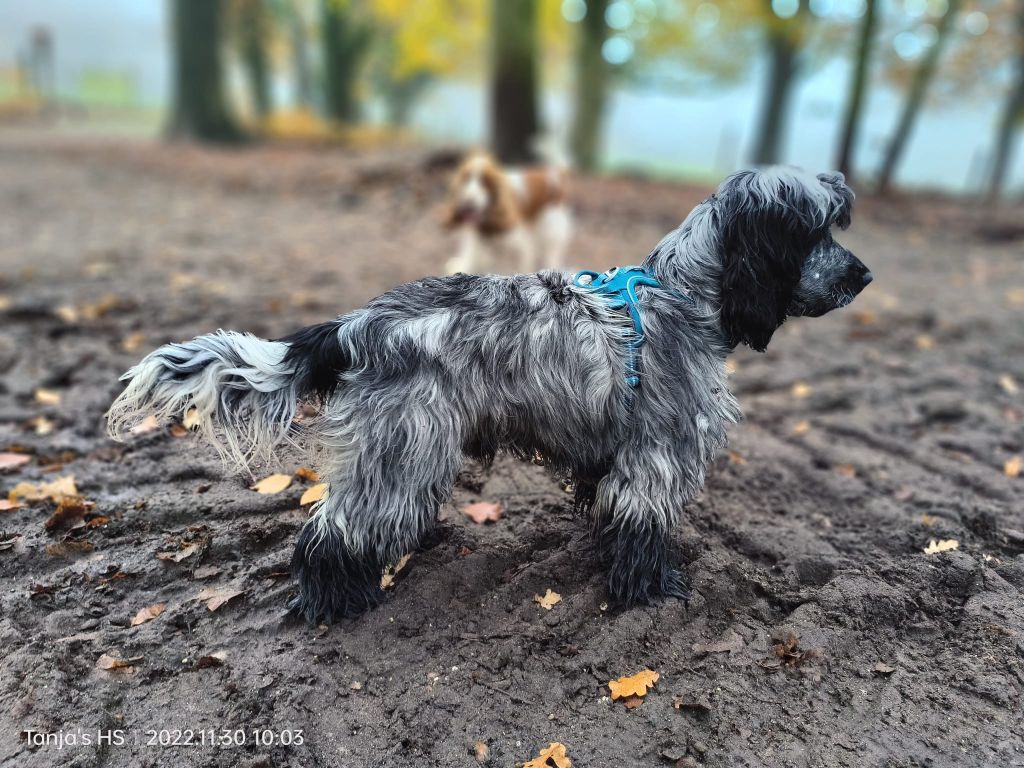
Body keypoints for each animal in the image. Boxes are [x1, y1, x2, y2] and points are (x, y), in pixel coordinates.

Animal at [107, 166, 872, 624]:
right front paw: (652, 591)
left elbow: (608, 514)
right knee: (332, 535)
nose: (862, 275)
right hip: (402, 453)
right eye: (815, 231)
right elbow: (644, 529)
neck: (681, 295)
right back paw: (336, 603)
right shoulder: (658, 455)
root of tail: (354, 325)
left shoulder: (613, 457)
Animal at [440, 151, 571, 274]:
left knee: (553, 253)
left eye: (485, 183)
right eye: (465, 180)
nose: (467, 201)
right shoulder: (476, 247)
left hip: (550, 229)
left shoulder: (521, 248)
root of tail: (552, 174)